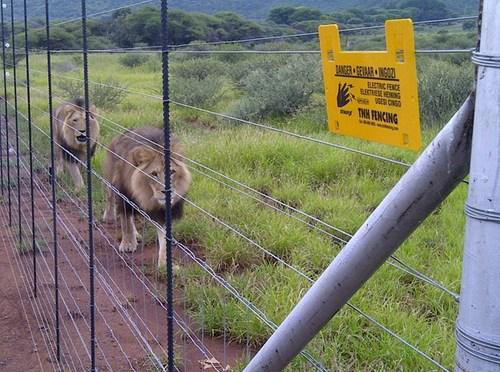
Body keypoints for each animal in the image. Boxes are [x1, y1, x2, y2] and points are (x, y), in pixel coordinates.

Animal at [102, 127, 192, 268]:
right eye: (154, 174)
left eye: (172, 172)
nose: (167, 191)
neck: (146, 194)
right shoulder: (124, 196)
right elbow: (126, 221)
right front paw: (128, 243)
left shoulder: (163, 212)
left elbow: (164, 236)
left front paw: (165, 262)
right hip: (112, 181)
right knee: (110, 198)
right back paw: (109, 216)